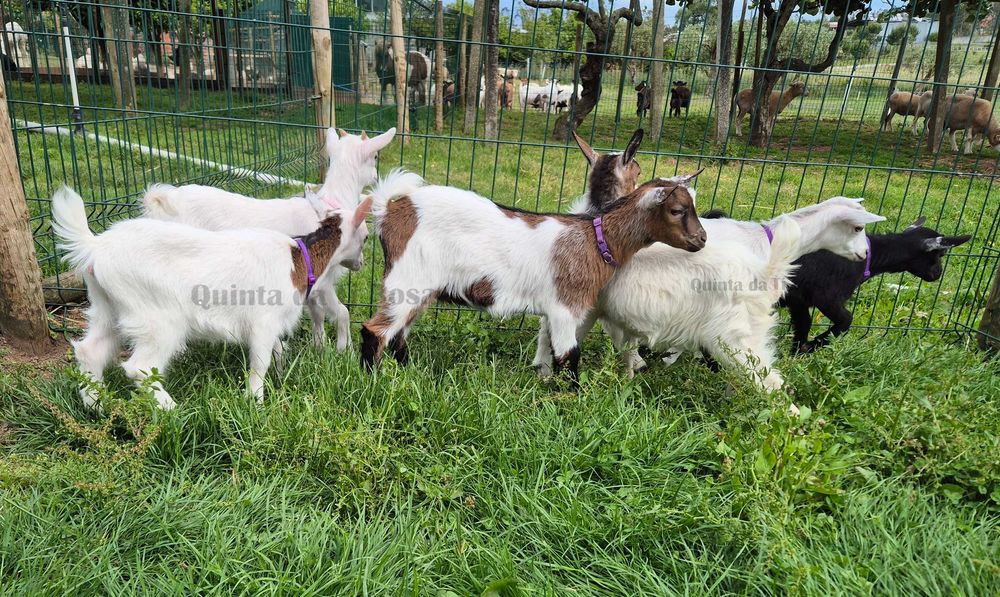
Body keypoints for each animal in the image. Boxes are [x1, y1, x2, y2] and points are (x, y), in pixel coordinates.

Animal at [51, 186, 373, 411]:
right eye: (367, 236)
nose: (361, 263)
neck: (298, 258)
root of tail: (96, 248)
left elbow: (279, 350)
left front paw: (281, 377)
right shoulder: (263, 322)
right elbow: (259, 364)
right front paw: (256, 403)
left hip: (108, 306)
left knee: (90, 350)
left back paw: (96, 405)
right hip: (157, 317)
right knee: (138, 366)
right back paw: (171, 409)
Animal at [142, 127, 396, 351]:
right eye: (375, 156)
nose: (376, 177)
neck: (330, 205)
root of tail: (161, 201)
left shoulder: (309, 281)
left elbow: (317, 314)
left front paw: (319, 346)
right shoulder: (323, 278)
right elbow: (342, 312)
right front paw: (345, 349)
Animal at [360, 168, 707, 380]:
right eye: (677, 210)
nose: (701, 239)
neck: (595, 240)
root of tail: (391, 211)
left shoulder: (558, 310)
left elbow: (549, 347)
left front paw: (544, 378)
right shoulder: (566, 307)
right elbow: (568, 354)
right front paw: (572, 396)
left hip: (420, 288)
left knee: (400, 332)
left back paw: (407, 371)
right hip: (406, 281)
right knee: (376, 330)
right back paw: (372, 379)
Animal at [780, 216, 971, 353]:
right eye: (940, 254)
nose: (938, 274)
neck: (870, 256)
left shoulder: (798, 301)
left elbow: (803, 323)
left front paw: (797, 352)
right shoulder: (827, 297)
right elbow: (846, 320)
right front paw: (813, 345)